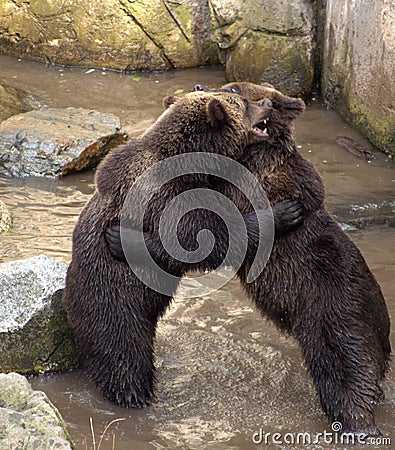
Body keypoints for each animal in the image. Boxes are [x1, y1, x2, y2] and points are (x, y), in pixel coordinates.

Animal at [62, 90, 304, 408]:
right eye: (242, 103)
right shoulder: (166, 196)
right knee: (123, 351)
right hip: (112, 299)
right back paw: (134, 394)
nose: (265, 103)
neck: (192, 160)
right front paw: (283, 213)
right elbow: (207, 237)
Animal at [106, 81, 392, 436]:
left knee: (346, 376)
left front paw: (125, 239)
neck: (251, 155)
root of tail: (382, 329)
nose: (198, 85)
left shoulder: (246, 186)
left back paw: (359, 425)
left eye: (233, 89)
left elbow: (209, 231)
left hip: (336, 320)